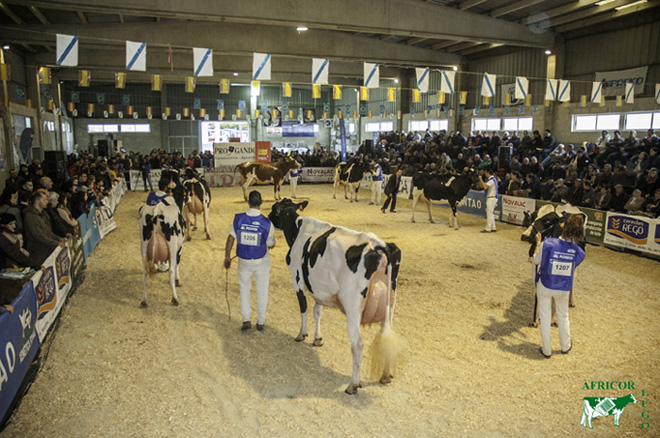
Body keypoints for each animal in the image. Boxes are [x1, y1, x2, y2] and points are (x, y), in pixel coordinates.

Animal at [268, 198, 402, 394]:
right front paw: (317, 338)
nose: (267, 217)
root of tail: (379, 244)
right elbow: (317, 312)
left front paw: (302, 334)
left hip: (353, 308)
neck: (298, 229)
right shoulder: (319, 288)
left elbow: (304, 309)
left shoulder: (297, 279)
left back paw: (353, 384)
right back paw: (386, 375)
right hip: (390, 305)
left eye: (274, 209)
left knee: (357, 344)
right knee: (387, 336)